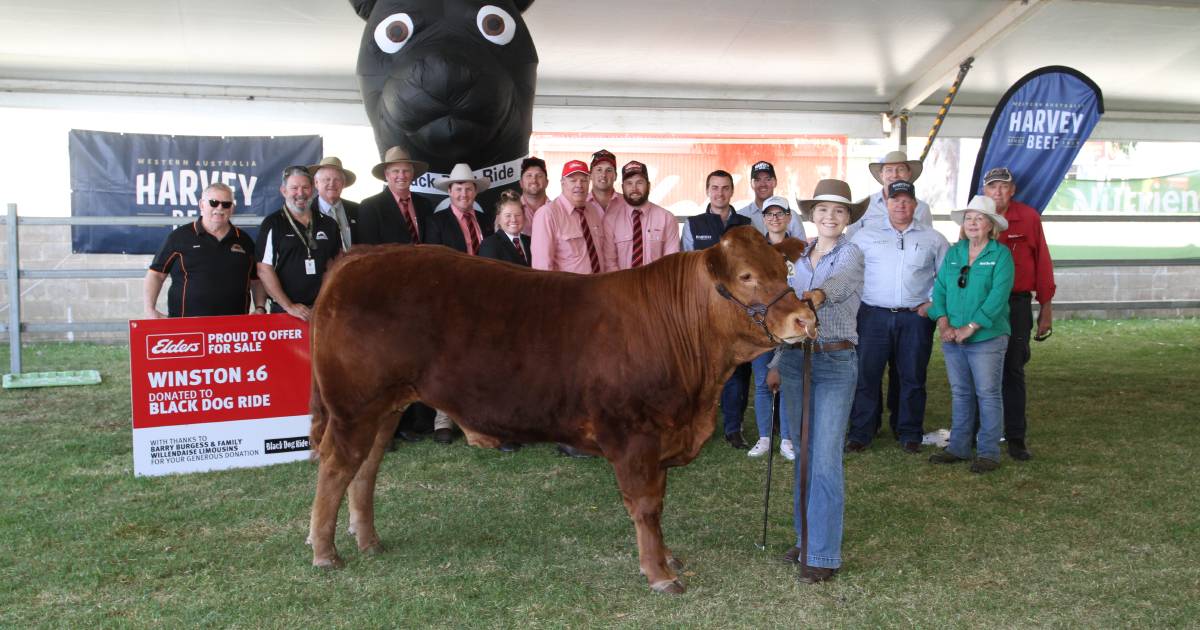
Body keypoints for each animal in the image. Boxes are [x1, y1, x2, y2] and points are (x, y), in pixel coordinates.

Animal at [304, 226, 820, 595]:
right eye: (746, 277)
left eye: (784, 269)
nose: (805, 319)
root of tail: (362, 255)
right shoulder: (634, 435)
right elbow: (647, 505)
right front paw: (659, 573)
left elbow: (658, 502)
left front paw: (667, 557)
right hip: (353, 405)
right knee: (336, 466)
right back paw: (325, 552)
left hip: (385, 404)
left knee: (366, 468)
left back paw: (368, 541)